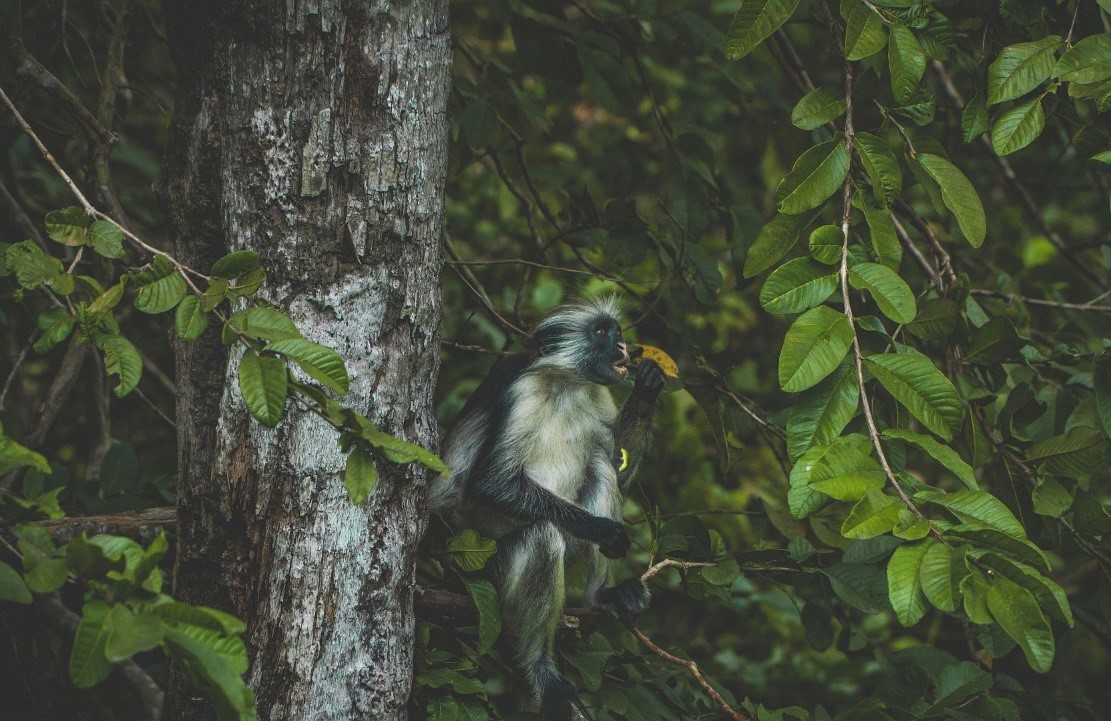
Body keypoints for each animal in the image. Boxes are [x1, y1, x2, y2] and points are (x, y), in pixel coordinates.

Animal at [429, 296, 665, 721]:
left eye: (617, 332)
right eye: (602, 333)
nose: (624, 347)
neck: (565, 384)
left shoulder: (598, 391)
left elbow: (617, 469)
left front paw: (647, 388)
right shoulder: (522, 390)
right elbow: (491, 482)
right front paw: (606, 531)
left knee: (599, 463)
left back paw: (601, 597)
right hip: (483, 566)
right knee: (542, 535)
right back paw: (541, 671)